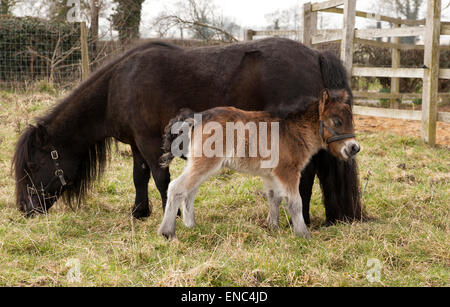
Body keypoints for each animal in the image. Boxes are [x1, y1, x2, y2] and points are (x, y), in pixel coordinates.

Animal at [12, 38, 366, 225]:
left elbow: (162, 180)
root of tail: (315, 54)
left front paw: (174, 215)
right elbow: (139, 177)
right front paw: (139, 212)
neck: (119, 86)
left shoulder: (152, 143)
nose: (24, 210)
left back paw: (299, 215)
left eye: (32, 166)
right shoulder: (138, 145)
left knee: (307, 175)